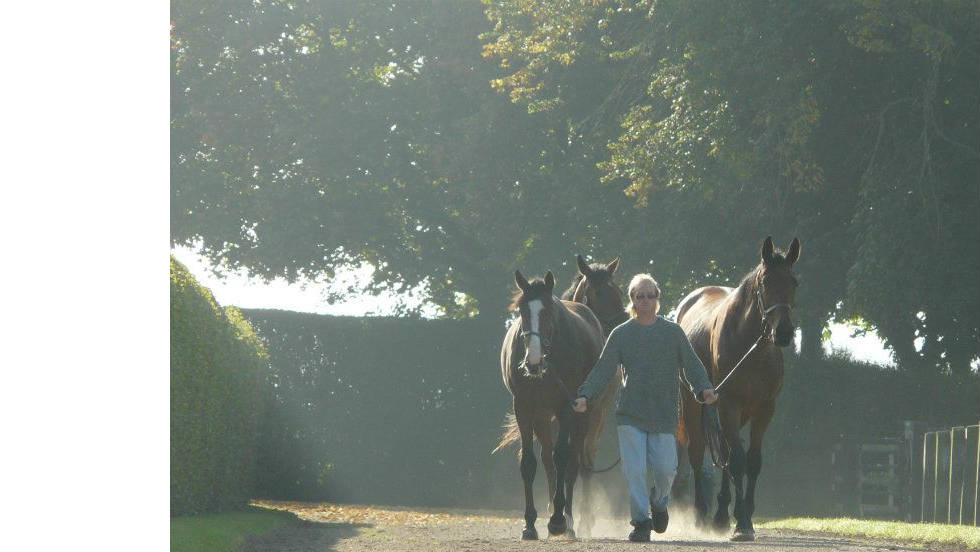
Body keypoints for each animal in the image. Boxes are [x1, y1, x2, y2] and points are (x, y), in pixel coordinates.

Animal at [498, 270, 604, 540]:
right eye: (521, 310)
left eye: (548, 311)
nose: (533, 361)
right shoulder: (524, 409)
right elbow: (529, 463)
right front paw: (529, 524)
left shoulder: (566, 407)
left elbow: (563, 458)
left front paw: (558, 520)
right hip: (542, 417)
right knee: (547, 460)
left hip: (582, 414)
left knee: (572, 462)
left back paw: (568, 520)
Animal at [676, 235, 800, 540]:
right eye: (765, 281)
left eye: (794, 282)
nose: (783, 333)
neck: (751, 349)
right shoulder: (728, 404)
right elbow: (737, 461)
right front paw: (742, 521)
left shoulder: (764, 409)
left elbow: (751, 462)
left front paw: (746, 517)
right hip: (695, 405)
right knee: (699, 453)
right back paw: (701, 513)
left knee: (728, 453)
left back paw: (721, 514)